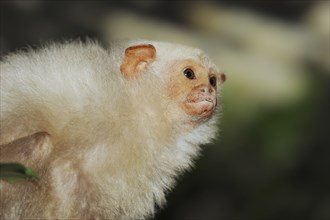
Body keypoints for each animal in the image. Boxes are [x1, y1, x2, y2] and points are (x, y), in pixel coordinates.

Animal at [0, 39, 226, 220]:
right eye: (189, 74)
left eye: (212, 80)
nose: (208, 91)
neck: (137, 110)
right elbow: (66, 170)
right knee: (41, 144)